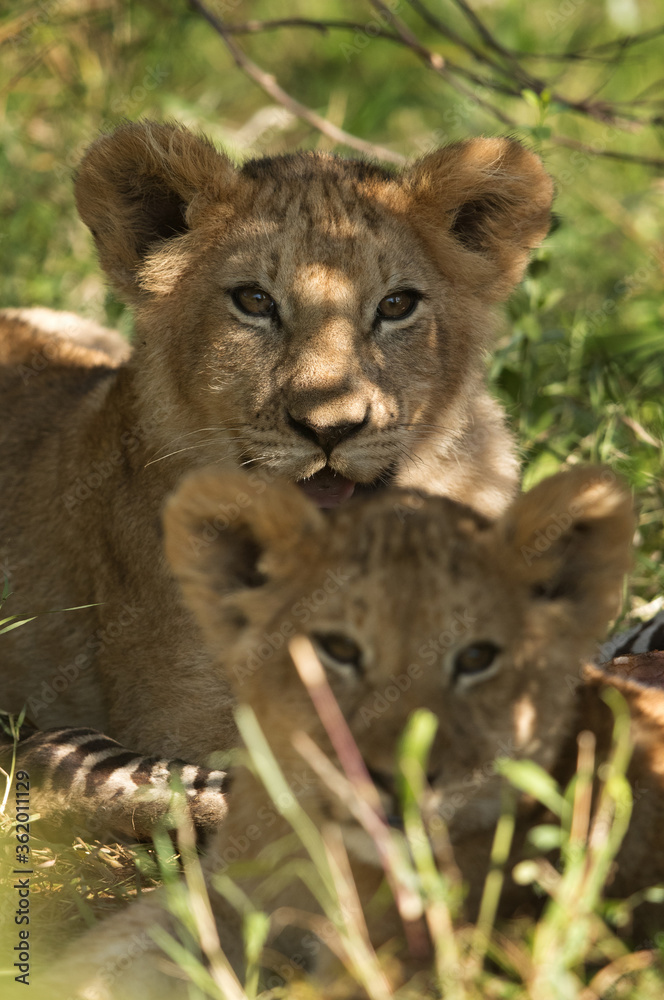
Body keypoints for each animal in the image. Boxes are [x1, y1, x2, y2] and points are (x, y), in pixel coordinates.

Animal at [44, 463, 664, 999]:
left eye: (477, 658)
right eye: (338, 649)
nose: (397, 783)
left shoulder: (402, 962)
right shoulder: (220, 894)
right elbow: (101, 954)